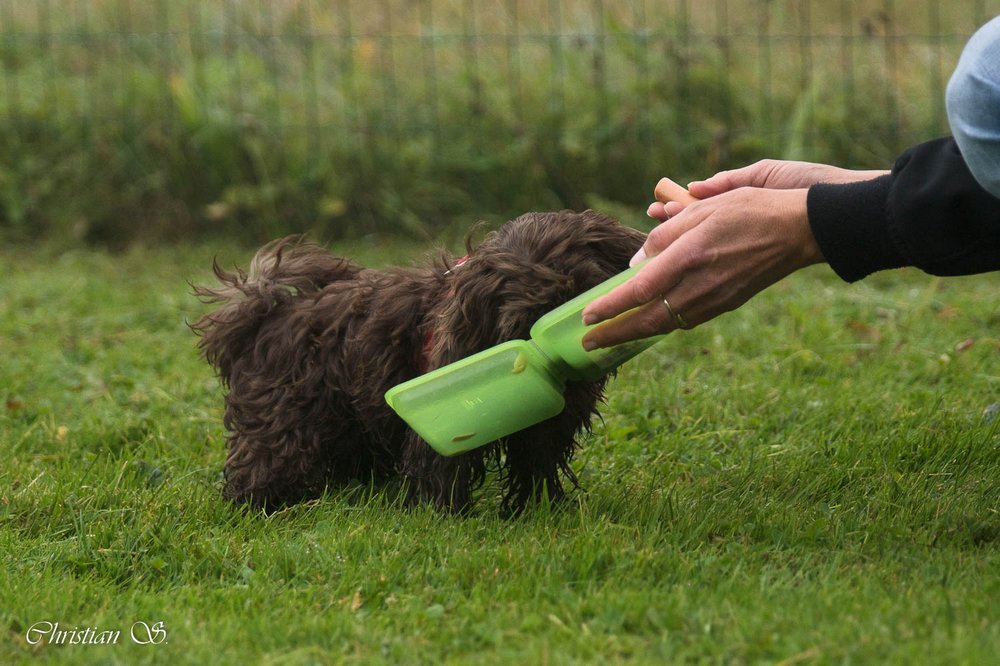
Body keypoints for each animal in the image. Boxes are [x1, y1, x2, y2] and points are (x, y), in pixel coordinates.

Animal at [193, 210, 646, 513]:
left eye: (580, 287)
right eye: (528, 315)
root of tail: (267, 313)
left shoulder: (545, 427)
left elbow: (537, 462)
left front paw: (541, 509)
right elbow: (441, 466)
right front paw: (446, 518)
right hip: (287, 419)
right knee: (266, 461)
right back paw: (262, 504)